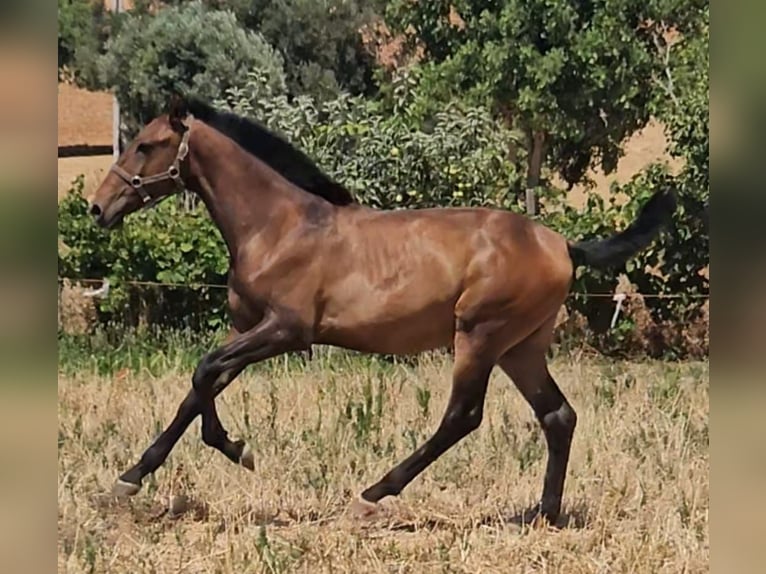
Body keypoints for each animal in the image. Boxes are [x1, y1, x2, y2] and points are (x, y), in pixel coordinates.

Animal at [88, 94, 680, 528]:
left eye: (146, 145)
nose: (98, 208)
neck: (279, 226)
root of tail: (564, 245)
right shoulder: (250, 328)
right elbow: (199, 388)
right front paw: (130, 479)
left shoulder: (286, 330)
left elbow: (204, 370)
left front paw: (237, 450)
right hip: (521, 348)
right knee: (557, 416)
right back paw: (543, 515)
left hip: (480, 335)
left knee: (462, 417)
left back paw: (372, 495)